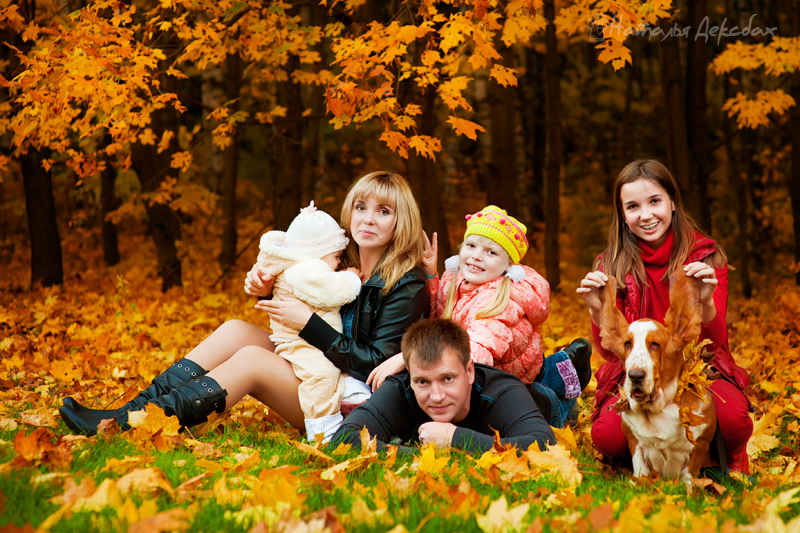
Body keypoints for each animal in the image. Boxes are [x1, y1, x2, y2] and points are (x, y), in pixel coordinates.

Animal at [596, 272, 716, 484]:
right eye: (627, 344)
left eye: (655, 345)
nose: (635, 376)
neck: (658, 410)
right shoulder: (635, 443)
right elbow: (640, 470)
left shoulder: (700, 445)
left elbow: (688, 478)